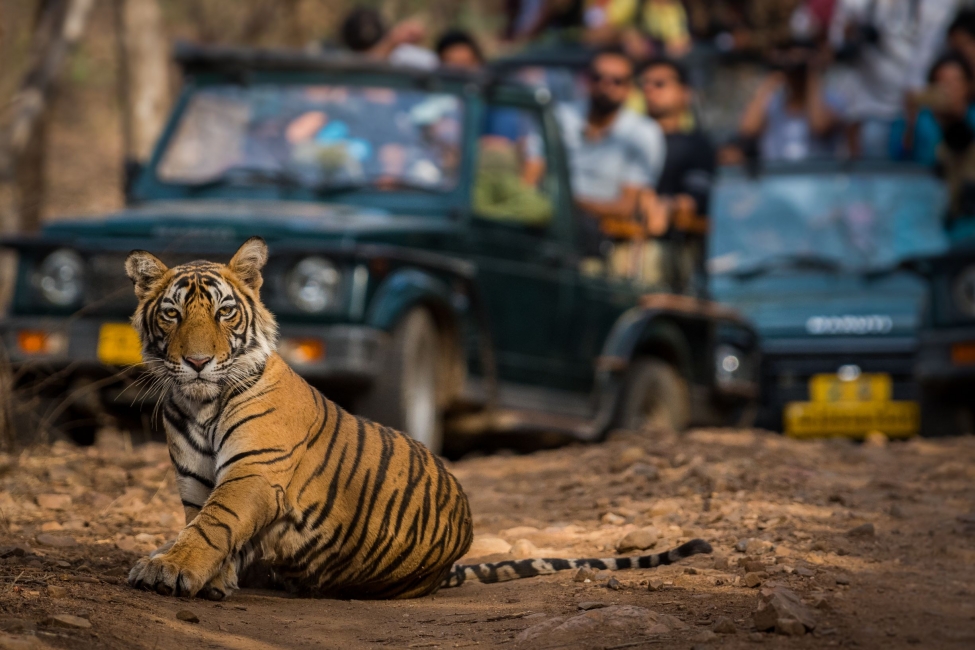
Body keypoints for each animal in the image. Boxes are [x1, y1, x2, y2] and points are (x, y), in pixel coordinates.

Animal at [124, 237, 712, 600]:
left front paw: (168, 569)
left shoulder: (255, 472)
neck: (199, 403)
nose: (198, 362)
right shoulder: (196, 480)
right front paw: (208, 577)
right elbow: (202, 524)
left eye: (225, 312)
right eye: (172, 313)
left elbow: (212, 525)